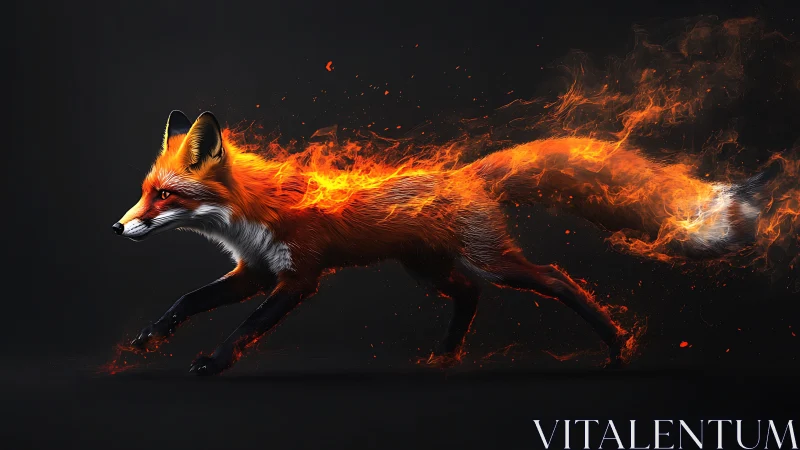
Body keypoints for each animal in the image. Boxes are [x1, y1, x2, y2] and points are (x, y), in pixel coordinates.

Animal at [114, 110, 782, 375]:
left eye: (165, 195)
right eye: (145, 192)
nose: (118, 228)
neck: (249, 218)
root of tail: (466, 175)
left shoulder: (297, 275)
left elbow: (247, 325)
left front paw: (215, 360)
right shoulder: (252, 270)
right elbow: (187, 301)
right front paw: (150, 337)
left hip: (493, 262)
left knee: (556, 278)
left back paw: (616, 344)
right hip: (429, 268)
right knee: (468, 296)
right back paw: (446, 352)